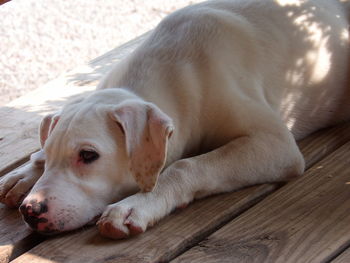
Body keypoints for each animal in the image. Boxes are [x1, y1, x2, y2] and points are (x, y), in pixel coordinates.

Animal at [0, 0, 350, 239]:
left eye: (88, 155)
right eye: (51, 153)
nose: (30, 210)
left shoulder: (275, 144)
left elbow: (185, 166)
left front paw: (138, 205)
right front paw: (27, 171)